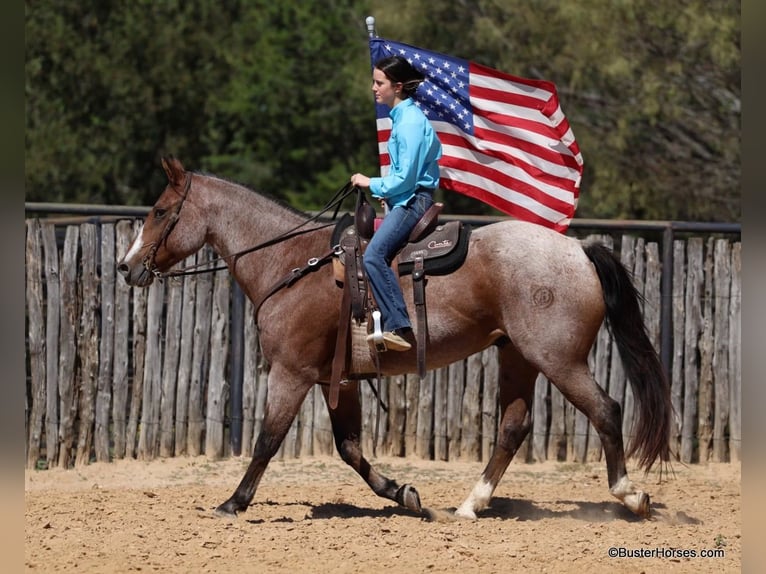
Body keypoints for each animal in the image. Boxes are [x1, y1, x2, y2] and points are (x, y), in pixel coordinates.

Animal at [118, 156, 672, 520]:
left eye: (162, 211)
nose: (126, 267)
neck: (292, 263)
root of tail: (578, 249)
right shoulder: (338, 379)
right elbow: (349, 448)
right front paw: (404, 493)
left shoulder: (291, 373)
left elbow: (268, 439)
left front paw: (233, 502)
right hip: (518, 358)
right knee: (513, 427)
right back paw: (470, 505)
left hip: (559, 359)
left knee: (606, 411)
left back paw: (632, 496)